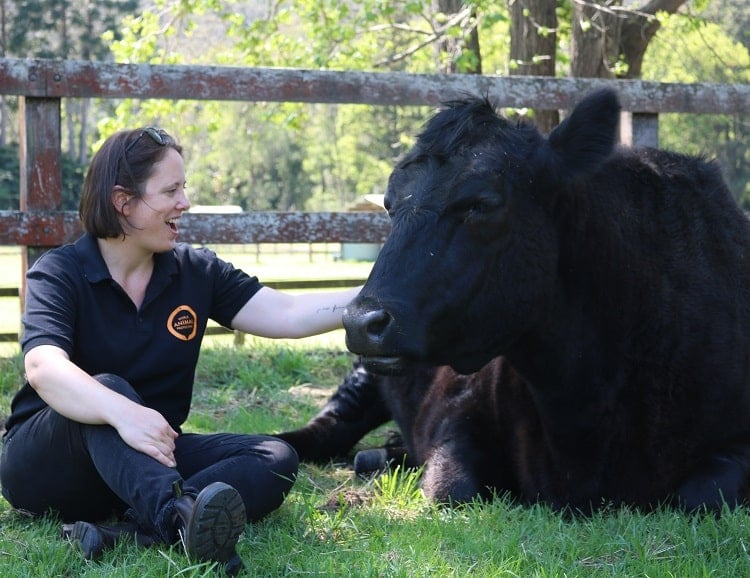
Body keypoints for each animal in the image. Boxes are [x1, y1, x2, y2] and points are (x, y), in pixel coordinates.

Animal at [280, 91, 750, 512]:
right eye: (389, 204)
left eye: (481, 203)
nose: (362, 320)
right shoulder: (455, 414)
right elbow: (453, 488)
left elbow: (702, 495)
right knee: (327, 429)